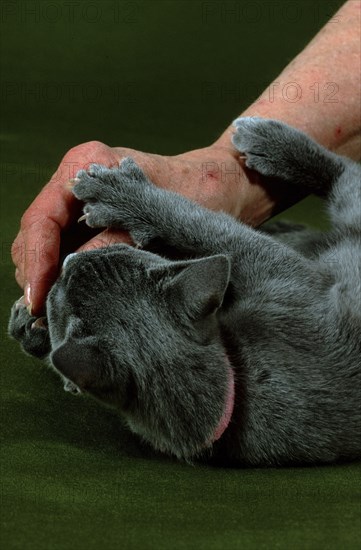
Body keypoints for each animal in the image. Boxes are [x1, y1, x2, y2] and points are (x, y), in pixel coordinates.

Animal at [8, 119, 360, 466]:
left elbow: (203, 225)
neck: (238, 383)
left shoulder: (290, 281)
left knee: (346, 174)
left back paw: (267, 139)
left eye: (117, 252)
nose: (69, 260)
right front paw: (31, 327)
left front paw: (119, 193)